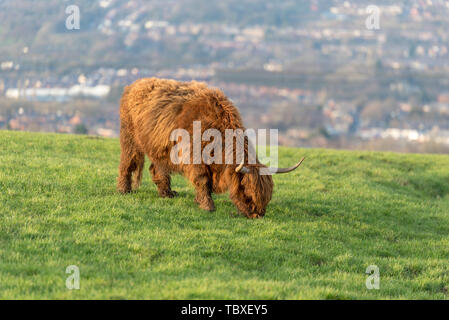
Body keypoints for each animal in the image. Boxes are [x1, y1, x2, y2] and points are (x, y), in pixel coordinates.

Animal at [117, 78, 302, 218]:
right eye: (248, 191)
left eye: (267, 196)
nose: (258, 215)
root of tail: (134, 84)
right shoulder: (194, 157)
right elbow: (202, 180)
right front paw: (208, 206)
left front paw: (199, 200)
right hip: (130, 136)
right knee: (128, 162)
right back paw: (124, 190)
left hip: (159, 147)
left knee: (158, 168)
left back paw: (167, 193)